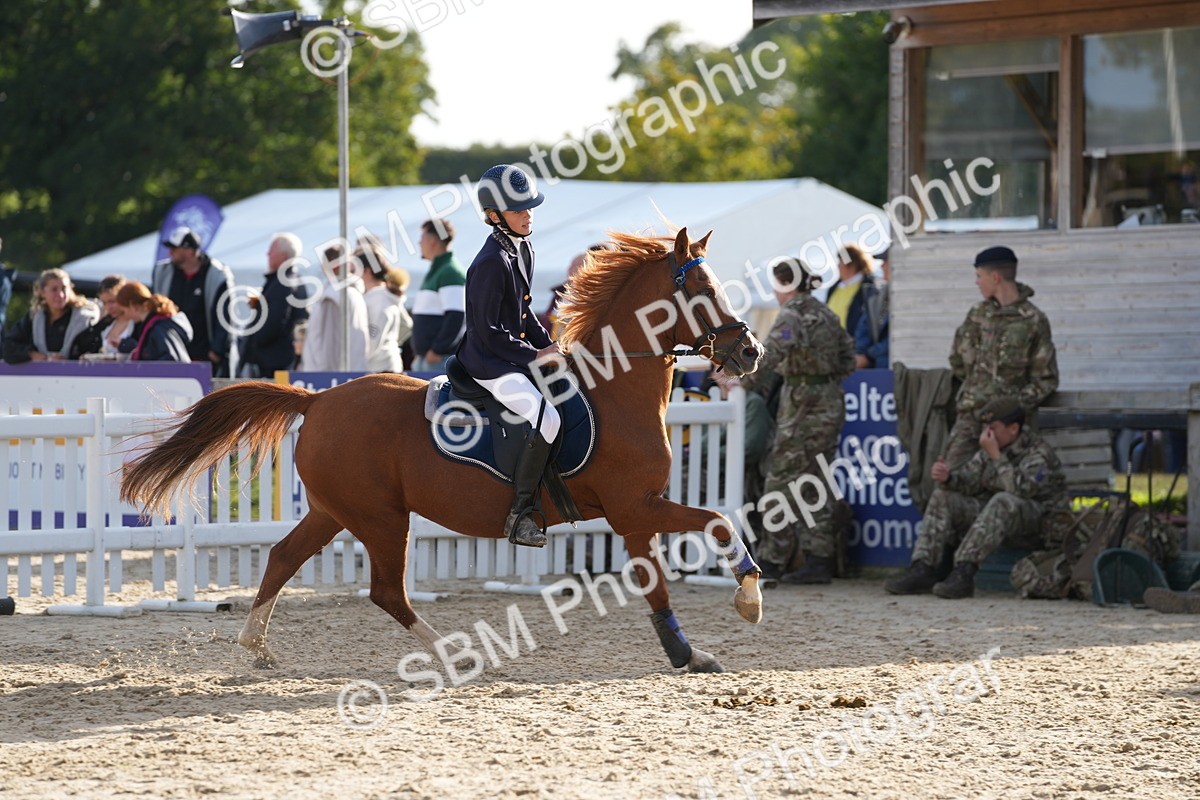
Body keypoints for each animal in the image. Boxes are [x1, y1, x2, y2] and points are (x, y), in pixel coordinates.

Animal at [120, 227, 767, 674]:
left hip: (336, 511)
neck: (616, 390)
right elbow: (707, 530)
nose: (750, 352)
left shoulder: (637, 513)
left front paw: (707, 636)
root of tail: (319, 400)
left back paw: (255, 646)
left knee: (283, 558)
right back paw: (455, 656)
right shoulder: (634, 509)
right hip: (382, 518)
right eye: (703, 290)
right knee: (385, 590)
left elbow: (683, 558)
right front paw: (736, 612)